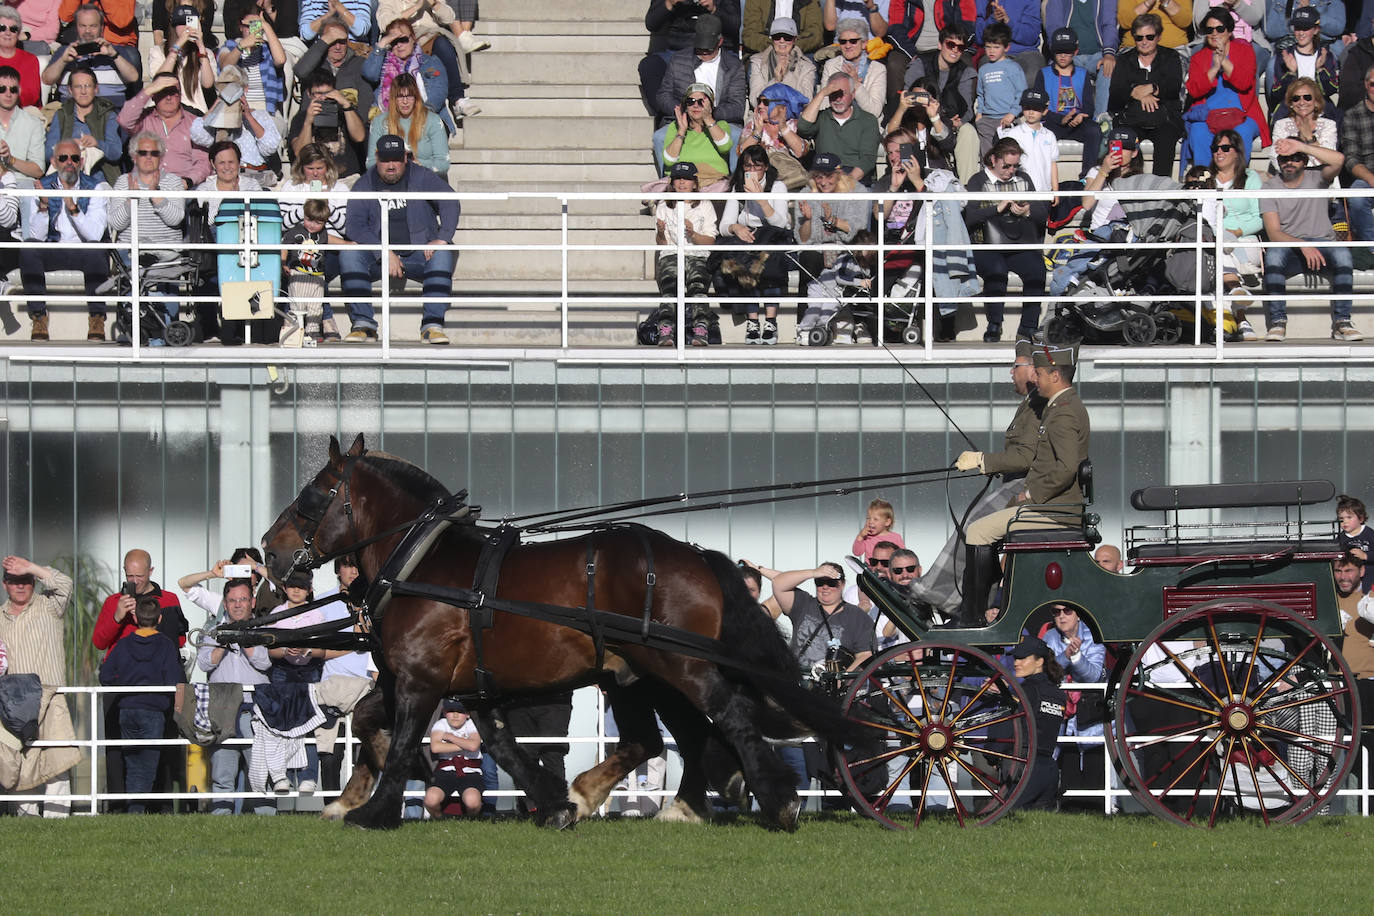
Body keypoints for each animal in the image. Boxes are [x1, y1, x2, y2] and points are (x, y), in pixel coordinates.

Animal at [262, 436, 851, 829]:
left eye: (315, 493)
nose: (270, 549)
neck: (422, 562)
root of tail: (697, 556)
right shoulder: (464, 686)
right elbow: (479, 740)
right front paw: (554, 803)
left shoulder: (419, 679)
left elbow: (406, 738)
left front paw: (375, 810)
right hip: (637, 672)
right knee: (670, 734)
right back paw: (662, 799)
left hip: (680, 666)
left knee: (725, 716)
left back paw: (776, 801)